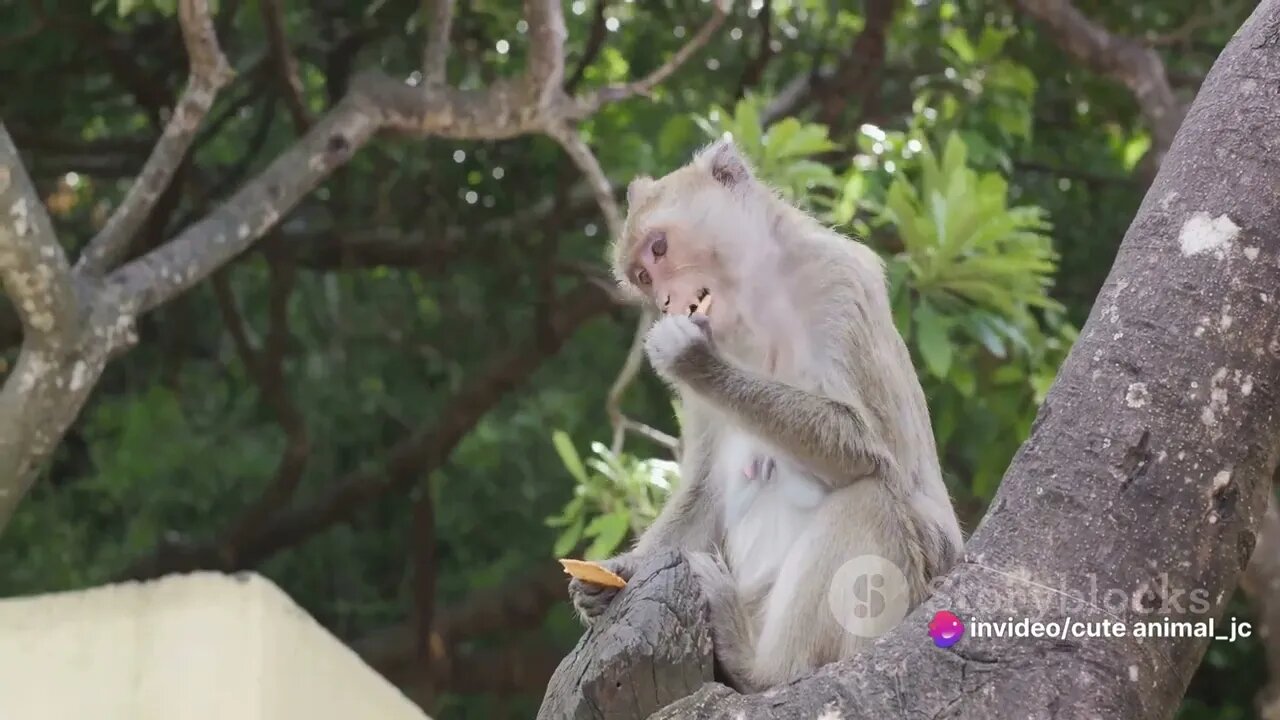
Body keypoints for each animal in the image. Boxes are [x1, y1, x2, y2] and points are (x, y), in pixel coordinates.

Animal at [565, 139, 962, 691]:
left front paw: (695, 360)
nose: (663, 301)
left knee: (871, 499)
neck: (755, 302)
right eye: (642, 276)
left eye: (659, 249)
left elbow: (866, 445)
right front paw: (614, 573)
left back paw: (758, 669)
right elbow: (706, 488)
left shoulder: (838, 282)